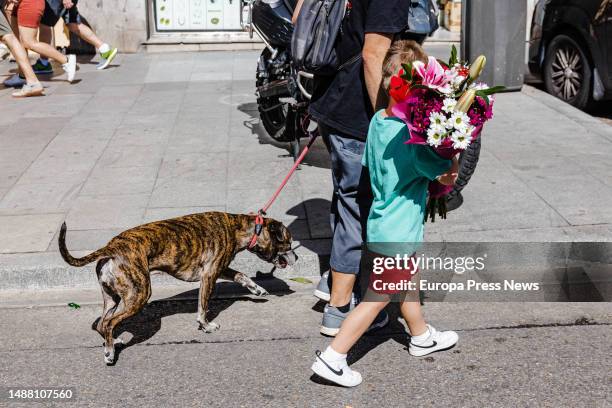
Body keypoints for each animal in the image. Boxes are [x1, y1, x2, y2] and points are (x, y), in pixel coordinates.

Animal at [58, 212, 298, 364]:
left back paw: (113, 342)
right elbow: (203, 306)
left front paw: (257, 289)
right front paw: (205, 325)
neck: (239, 227)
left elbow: (241, 275)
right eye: (288, 242)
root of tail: (111, 247)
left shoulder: (220, 268)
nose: (296, 256)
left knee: (103, 322)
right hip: (138, 294)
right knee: (108, 323)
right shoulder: (210, 275)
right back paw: (109, 352)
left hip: (113, 298)